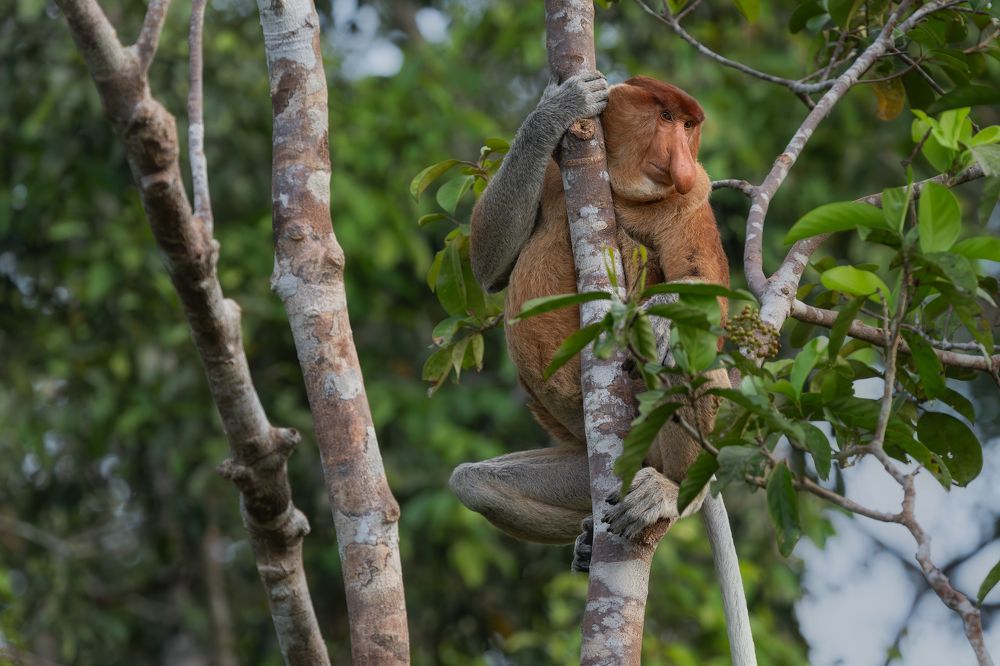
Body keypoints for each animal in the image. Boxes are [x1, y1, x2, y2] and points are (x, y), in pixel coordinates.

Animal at [449, 73, 730, 550]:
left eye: (689, 126)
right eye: (666, 117)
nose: (682, 165)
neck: (614, 183)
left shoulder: (693, 200)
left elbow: (715, 299)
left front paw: (656, 316)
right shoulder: (551, 171)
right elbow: (490, 264)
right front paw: (560, 105)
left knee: (687, 345)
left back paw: (671, 491)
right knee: (473, 483)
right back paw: (585, 541)